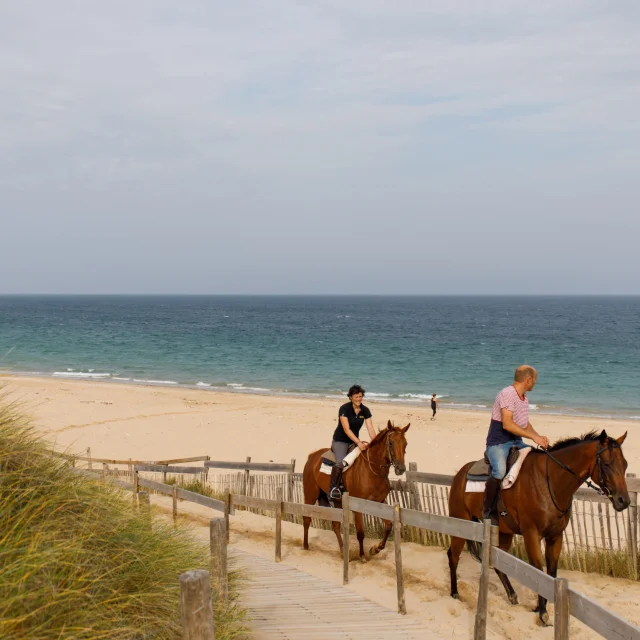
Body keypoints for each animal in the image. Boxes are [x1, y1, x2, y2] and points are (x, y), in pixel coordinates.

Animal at [302, 422, 410, 564]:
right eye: (391, 443)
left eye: (405, 444)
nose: (400, 468)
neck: (372, 470)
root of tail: (312, 456)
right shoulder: (358, 508)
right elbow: (360, 532)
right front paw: (362, 555)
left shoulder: (380, 503)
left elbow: (388, 526)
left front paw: (375, 549)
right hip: (310, 495)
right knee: (307, 519)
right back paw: (305, 546)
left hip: (337, 501)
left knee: (336, 525)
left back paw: (343, 550)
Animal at [448, 430, 628, 624]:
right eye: (607, 464)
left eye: (625, 465)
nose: (623, 501)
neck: (551, 481)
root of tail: (460, 474)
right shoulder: (531, 534)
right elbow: (538, 570)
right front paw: (542, 612)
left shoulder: (555, 537)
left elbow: (551, 572)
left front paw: (539, 607)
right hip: (459, 523)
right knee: (453, 555)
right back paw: (454, 592)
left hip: (504, 533)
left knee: (498, 562)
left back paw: (512, 595)